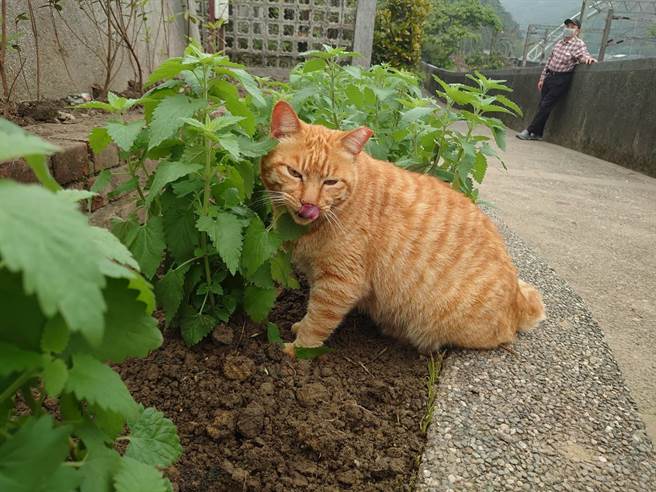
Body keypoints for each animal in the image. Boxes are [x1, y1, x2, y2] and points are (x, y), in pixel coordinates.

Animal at [260, 100, 544, 356]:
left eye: (330, 182)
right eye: (294, 173)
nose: (309, 203)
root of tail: (518, 300)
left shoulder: (339, 285)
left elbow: (317, 322)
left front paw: (295, 351)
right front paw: (298, 328)